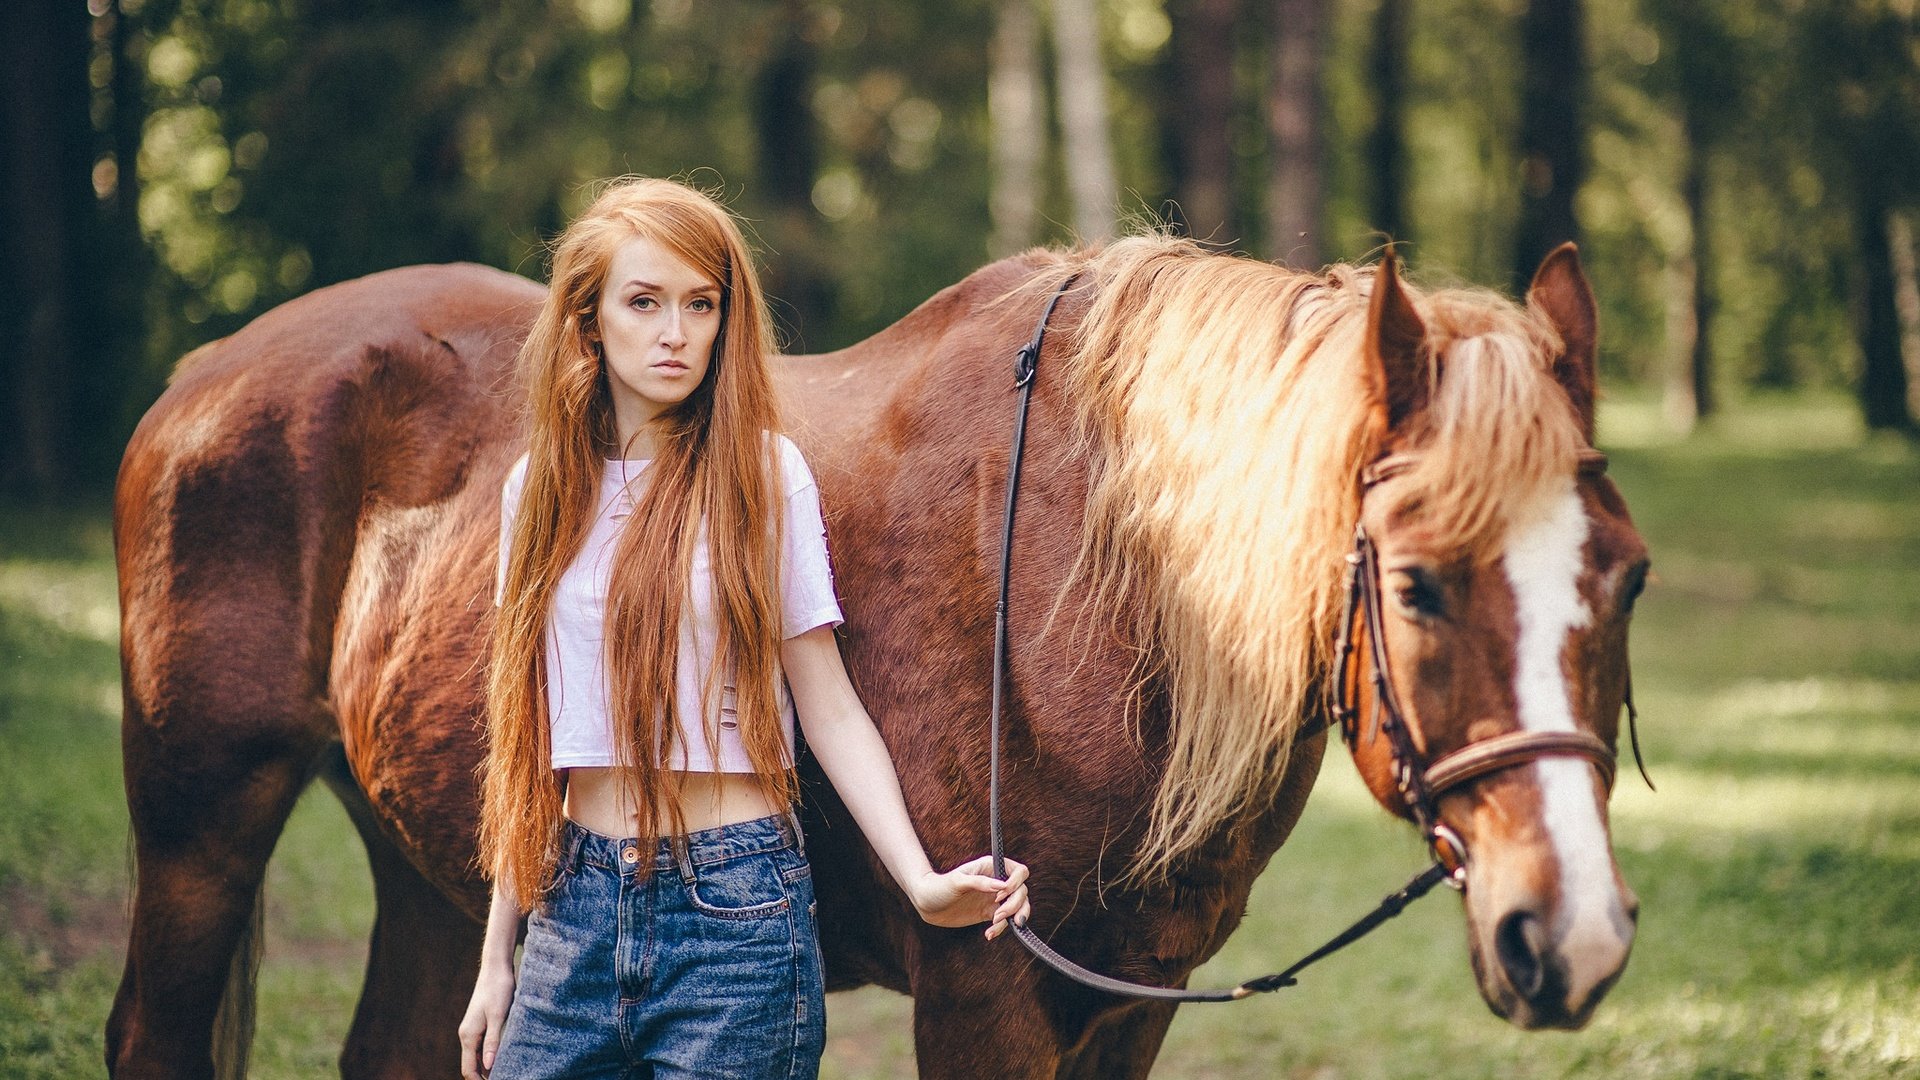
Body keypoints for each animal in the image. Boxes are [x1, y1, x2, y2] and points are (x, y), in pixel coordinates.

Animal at [105, 235, 1643, 1076]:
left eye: (1623, 575)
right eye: (1423, 586)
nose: (1570, 934)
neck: (1102, 590)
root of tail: (200, 376)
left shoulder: (1129, 1010)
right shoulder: (982, 1002)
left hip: (442, 862)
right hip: (200, 828)